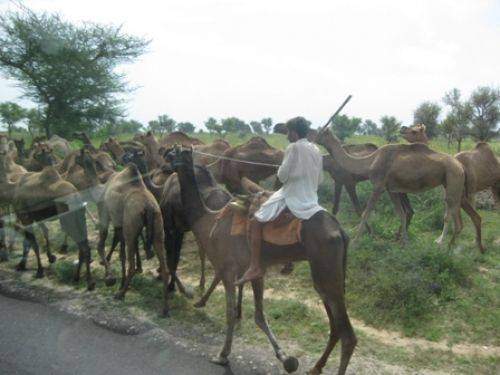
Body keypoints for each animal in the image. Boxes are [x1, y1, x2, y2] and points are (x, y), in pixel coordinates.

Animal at [168, 148, 356, 375]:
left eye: (173, 153)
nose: (165, 162)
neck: (208, 220)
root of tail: (340, 231)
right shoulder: (253, 271)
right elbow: (259, 315)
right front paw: (285, 358)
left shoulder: (228, 268)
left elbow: (230, 312)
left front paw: (222, 354)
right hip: (326, 273)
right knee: (335, 324)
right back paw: (315, 367)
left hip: (326, 267)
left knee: (347, 333)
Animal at [316, 128, 484, 254]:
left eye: (319, 132)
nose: (312, 136)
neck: (369, 161)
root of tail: (461, 166)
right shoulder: (392, 190)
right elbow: (401, 214)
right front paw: (404, 242)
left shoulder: (378, 185)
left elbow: (365, 212)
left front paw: (356, 242)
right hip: (451, 184)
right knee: (456, 216)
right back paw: (450, 247)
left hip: (453, 179)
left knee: (451, 215)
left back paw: (442, 244)